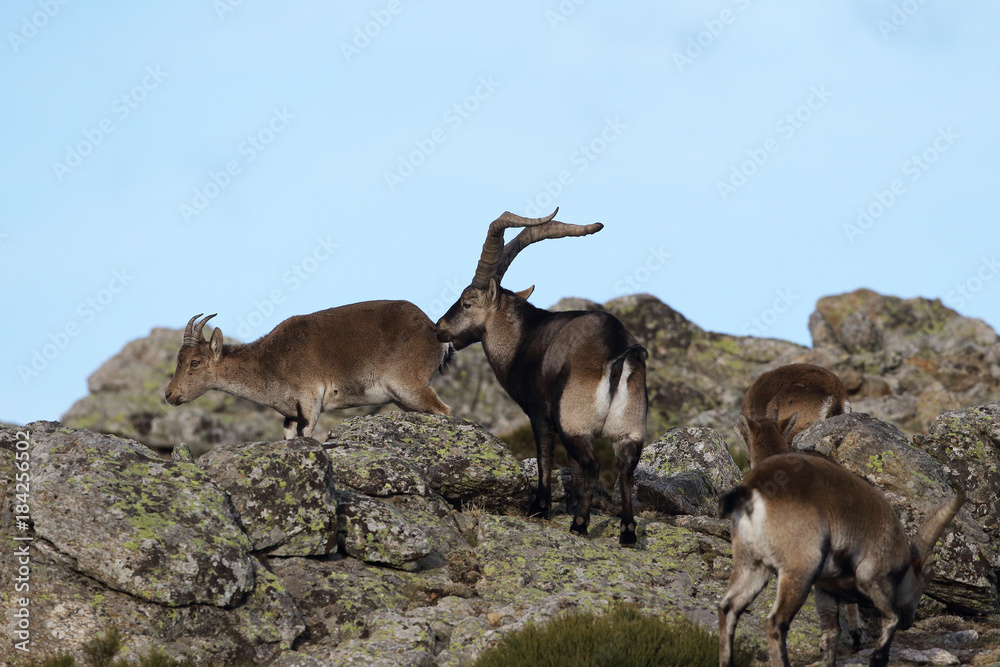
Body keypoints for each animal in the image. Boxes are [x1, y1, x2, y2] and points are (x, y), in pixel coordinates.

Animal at [165, 302, 454, 438]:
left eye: (194, 362)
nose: (169, 394)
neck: (270, 361)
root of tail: (434, 332)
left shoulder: (309, 399)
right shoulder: (290, 414)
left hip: (408, 386)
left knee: (444, 410)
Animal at [436, 210, 648, 548]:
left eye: (467, 302)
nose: (439, 328)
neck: (521, 338)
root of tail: (617, 352)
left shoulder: (541, 413)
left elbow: (544, 456)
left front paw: (540, 507)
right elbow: (571, 467)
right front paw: (571, 504)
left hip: (575, 421)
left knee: (592, 465)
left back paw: (580, 525)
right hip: (630, 428)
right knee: (625, 469)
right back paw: (627, 532)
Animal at [720, 452, 968, 667]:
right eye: (925, 579)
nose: (910, 620)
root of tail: (754, 490)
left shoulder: (824, 588)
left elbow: (830, 634)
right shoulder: (874, 578)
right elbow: (890, 619)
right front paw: (877, 657)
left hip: (752, 565)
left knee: (728, 608)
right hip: (799, 569)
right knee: (775, 622)